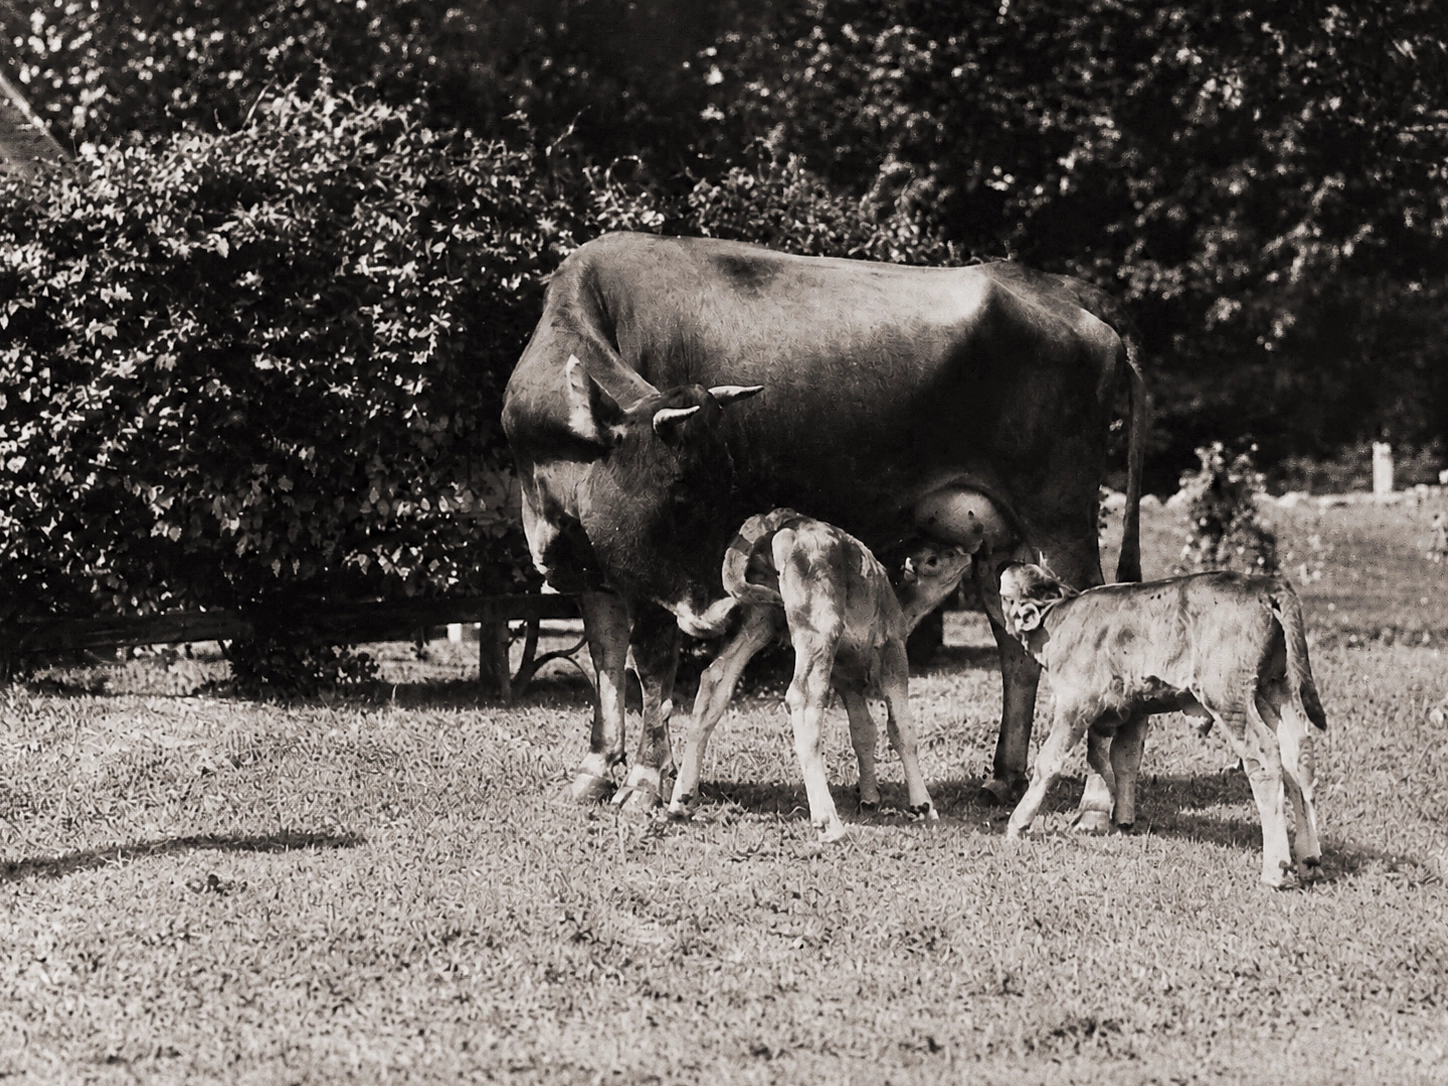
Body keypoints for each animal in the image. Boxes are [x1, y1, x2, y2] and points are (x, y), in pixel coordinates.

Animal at [667, 509, 974, 839]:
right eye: (934, 559)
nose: (965, 554)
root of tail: (784, 520)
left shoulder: (846, 677)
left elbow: (863, 731)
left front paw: (869, 797)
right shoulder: (893, 653)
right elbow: (900, 728)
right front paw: (922, 806)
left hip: (761, 620)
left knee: (715, 680)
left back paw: (681, 800)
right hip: (818, 628)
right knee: (804, 698)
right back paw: (829, 821)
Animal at [996, 562, 1328, 888]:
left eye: (1004, 593)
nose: (1006, 563)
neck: (1059, 618)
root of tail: (1263, 583)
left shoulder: (1075, 704)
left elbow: (1049, 762)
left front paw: (1018, 824)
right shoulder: (1131, 709)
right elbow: (1121, 757)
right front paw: (1120, 819)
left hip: (1228, 696)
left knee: (1265, 758)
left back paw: (1275, 870)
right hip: (1275, 687)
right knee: (1298, 755)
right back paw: (1309, 860)